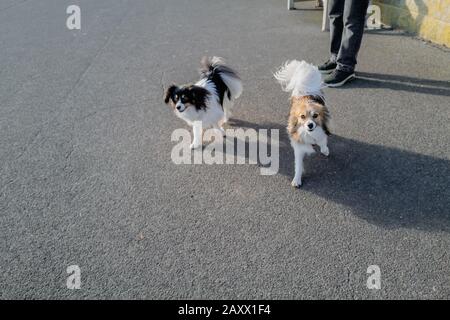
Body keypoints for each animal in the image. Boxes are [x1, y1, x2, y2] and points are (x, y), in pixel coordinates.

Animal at [274, 60, 330, 188]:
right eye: (302, 117)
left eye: (315, 115)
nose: (310, 125)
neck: (309, 134)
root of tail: (305, 92)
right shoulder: (298, 149)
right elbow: (298, 166)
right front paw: (297, 180)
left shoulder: (322, 132)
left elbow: (323, 141)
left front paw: (325, 150)